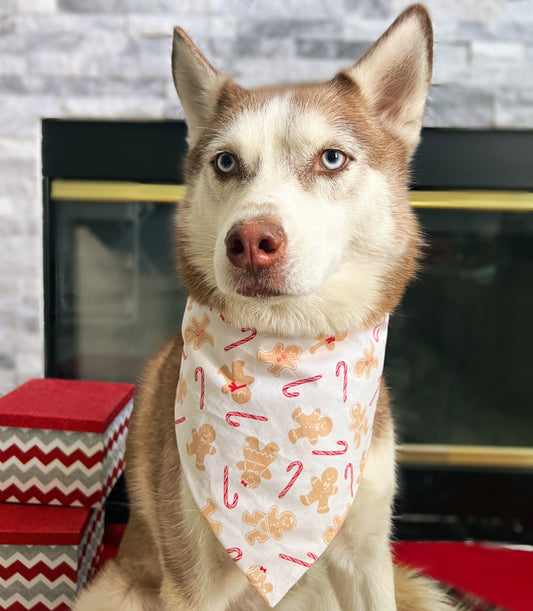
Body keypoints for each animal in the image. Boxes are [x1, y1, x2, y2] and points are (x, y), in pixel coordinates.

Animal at [77, 5, 456, 611]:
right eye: (227, 162)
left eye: (331, 158)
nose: (251, 241)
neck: (288, 353)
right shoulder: (192, 581)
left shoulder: (368, 559)